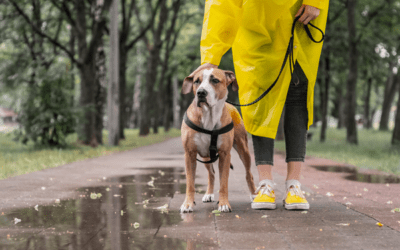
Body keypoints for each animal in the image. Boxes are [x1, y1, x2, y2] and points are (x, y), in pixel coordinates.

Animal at [180, 67, 256, 212]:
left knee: (248, 174)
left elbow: (224, 182)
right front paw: (187, 203)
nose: (201, 93)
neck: (208, 116)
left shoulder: (225, 154)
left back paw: (255, 195)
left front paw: (224, 203)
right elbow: (190, 183)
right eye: (196, 81)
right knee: (212, 173)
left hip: (243, 149)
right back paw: (208, 194)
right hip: (205, 157)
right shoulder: (189, 153)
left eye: (215, 80)